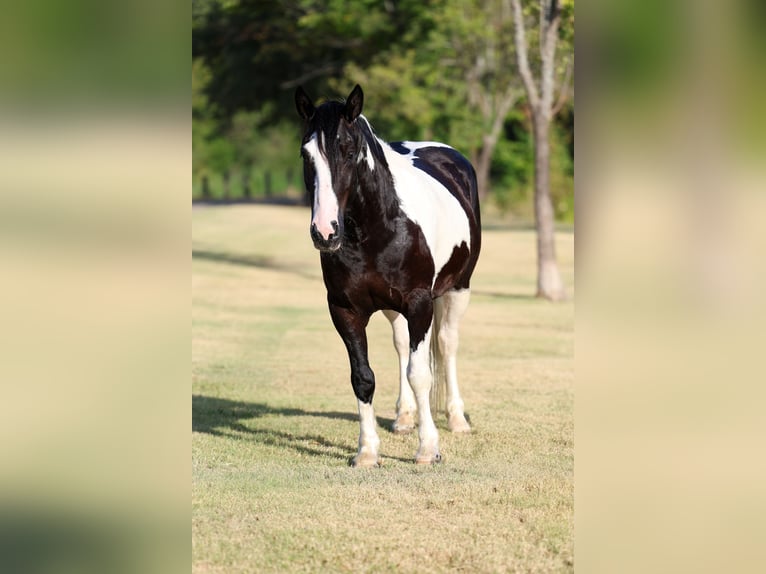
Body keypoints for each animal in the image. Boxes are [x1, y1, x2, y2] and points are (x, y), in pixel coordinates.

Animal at [295, 84, 481, 466]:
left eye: (349, 151)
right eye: (306, 155)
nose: (325, 232)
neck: (379, 226)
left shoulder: (420, 303)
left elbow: (421, 374)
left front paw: (428, 449)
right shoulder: (344, 310)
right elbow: (363, 378)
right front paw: (367, 451)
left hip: (458, 289)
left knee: (447, 344)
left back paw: (456, 419)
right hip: (394, 307)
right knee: (400, 346)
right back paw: (404, 417)